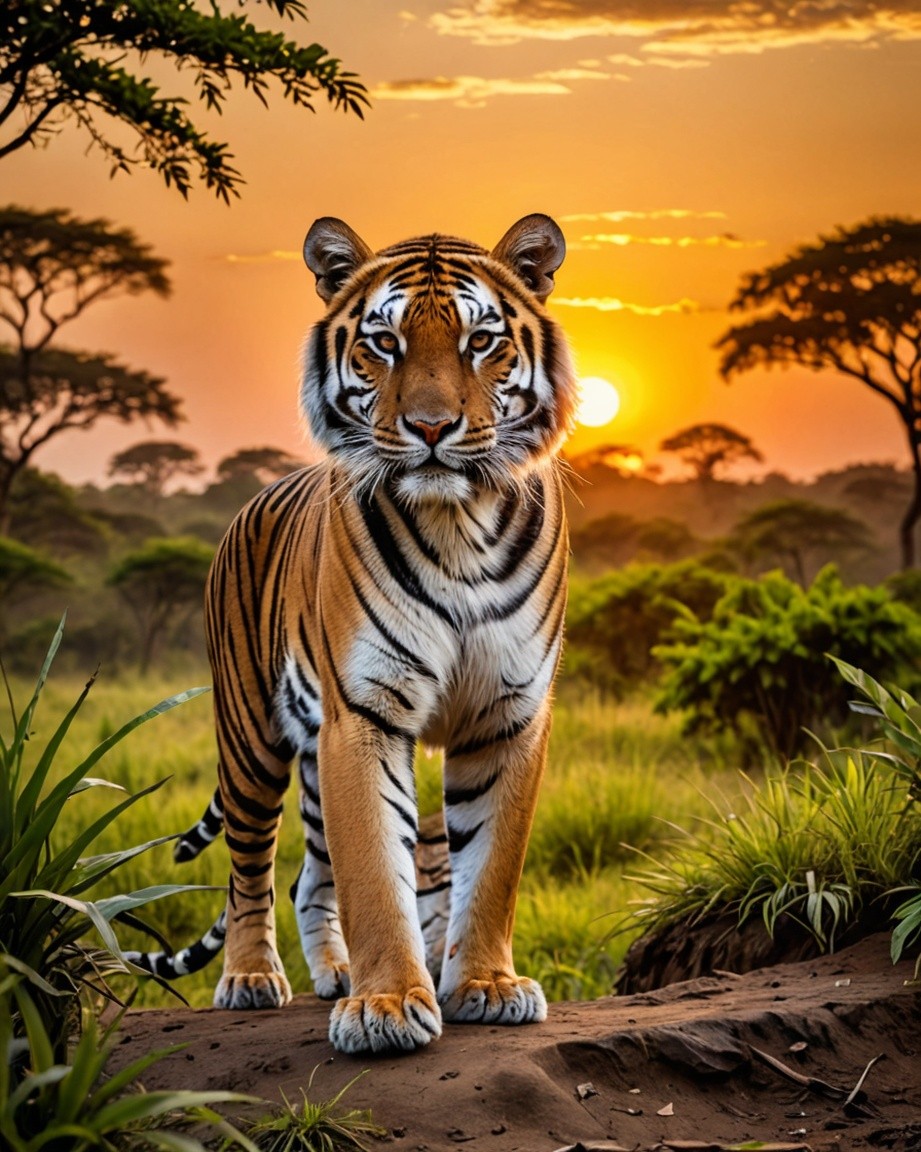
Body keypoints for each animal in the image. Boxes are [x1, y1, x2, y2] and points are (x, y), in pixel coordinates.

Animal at [128, 214, 577, 1055]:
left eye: (479, 341)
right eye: (384, 343)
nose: (430, 427)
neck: (458, 522)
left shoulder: (506, 714)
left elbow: (489, 866)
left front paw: (485, 986)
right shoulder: (363, 714)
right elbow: (375, 867)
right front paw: (387, 1005)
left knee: (309, 876)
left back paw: (333, 973)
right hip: (250, 738)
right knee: (249, 870)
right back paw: (251, 979)